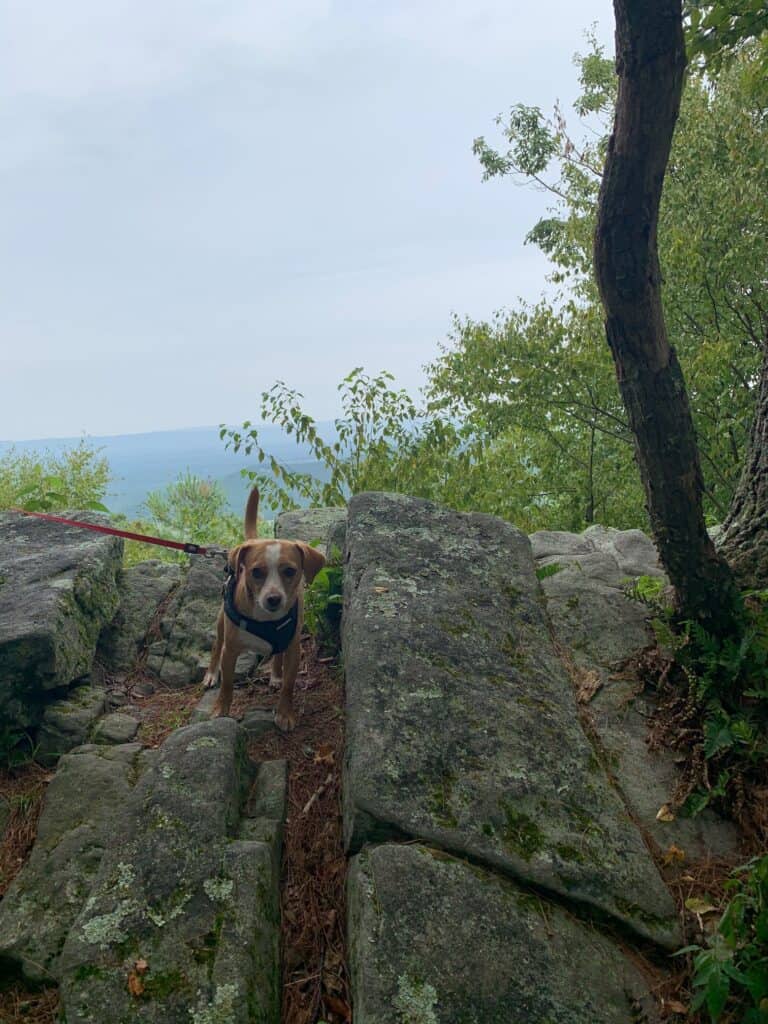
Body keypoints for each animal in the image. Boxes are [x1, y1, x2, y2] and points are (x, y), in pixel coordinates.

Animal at [202, 485, 325, 729]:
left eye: (290, 571)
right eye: (256, 572)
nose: (273, 598)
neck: (266, 620)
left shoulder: (294, 650)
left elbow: (289, 685)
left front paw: (285, 713)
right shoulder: (230, 651)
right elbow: (227, 684)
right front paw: (221, 709)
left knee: (277, 657)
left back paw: (276, 675)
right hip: (221, 624)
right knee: (216, 646)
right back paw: (211, 673)